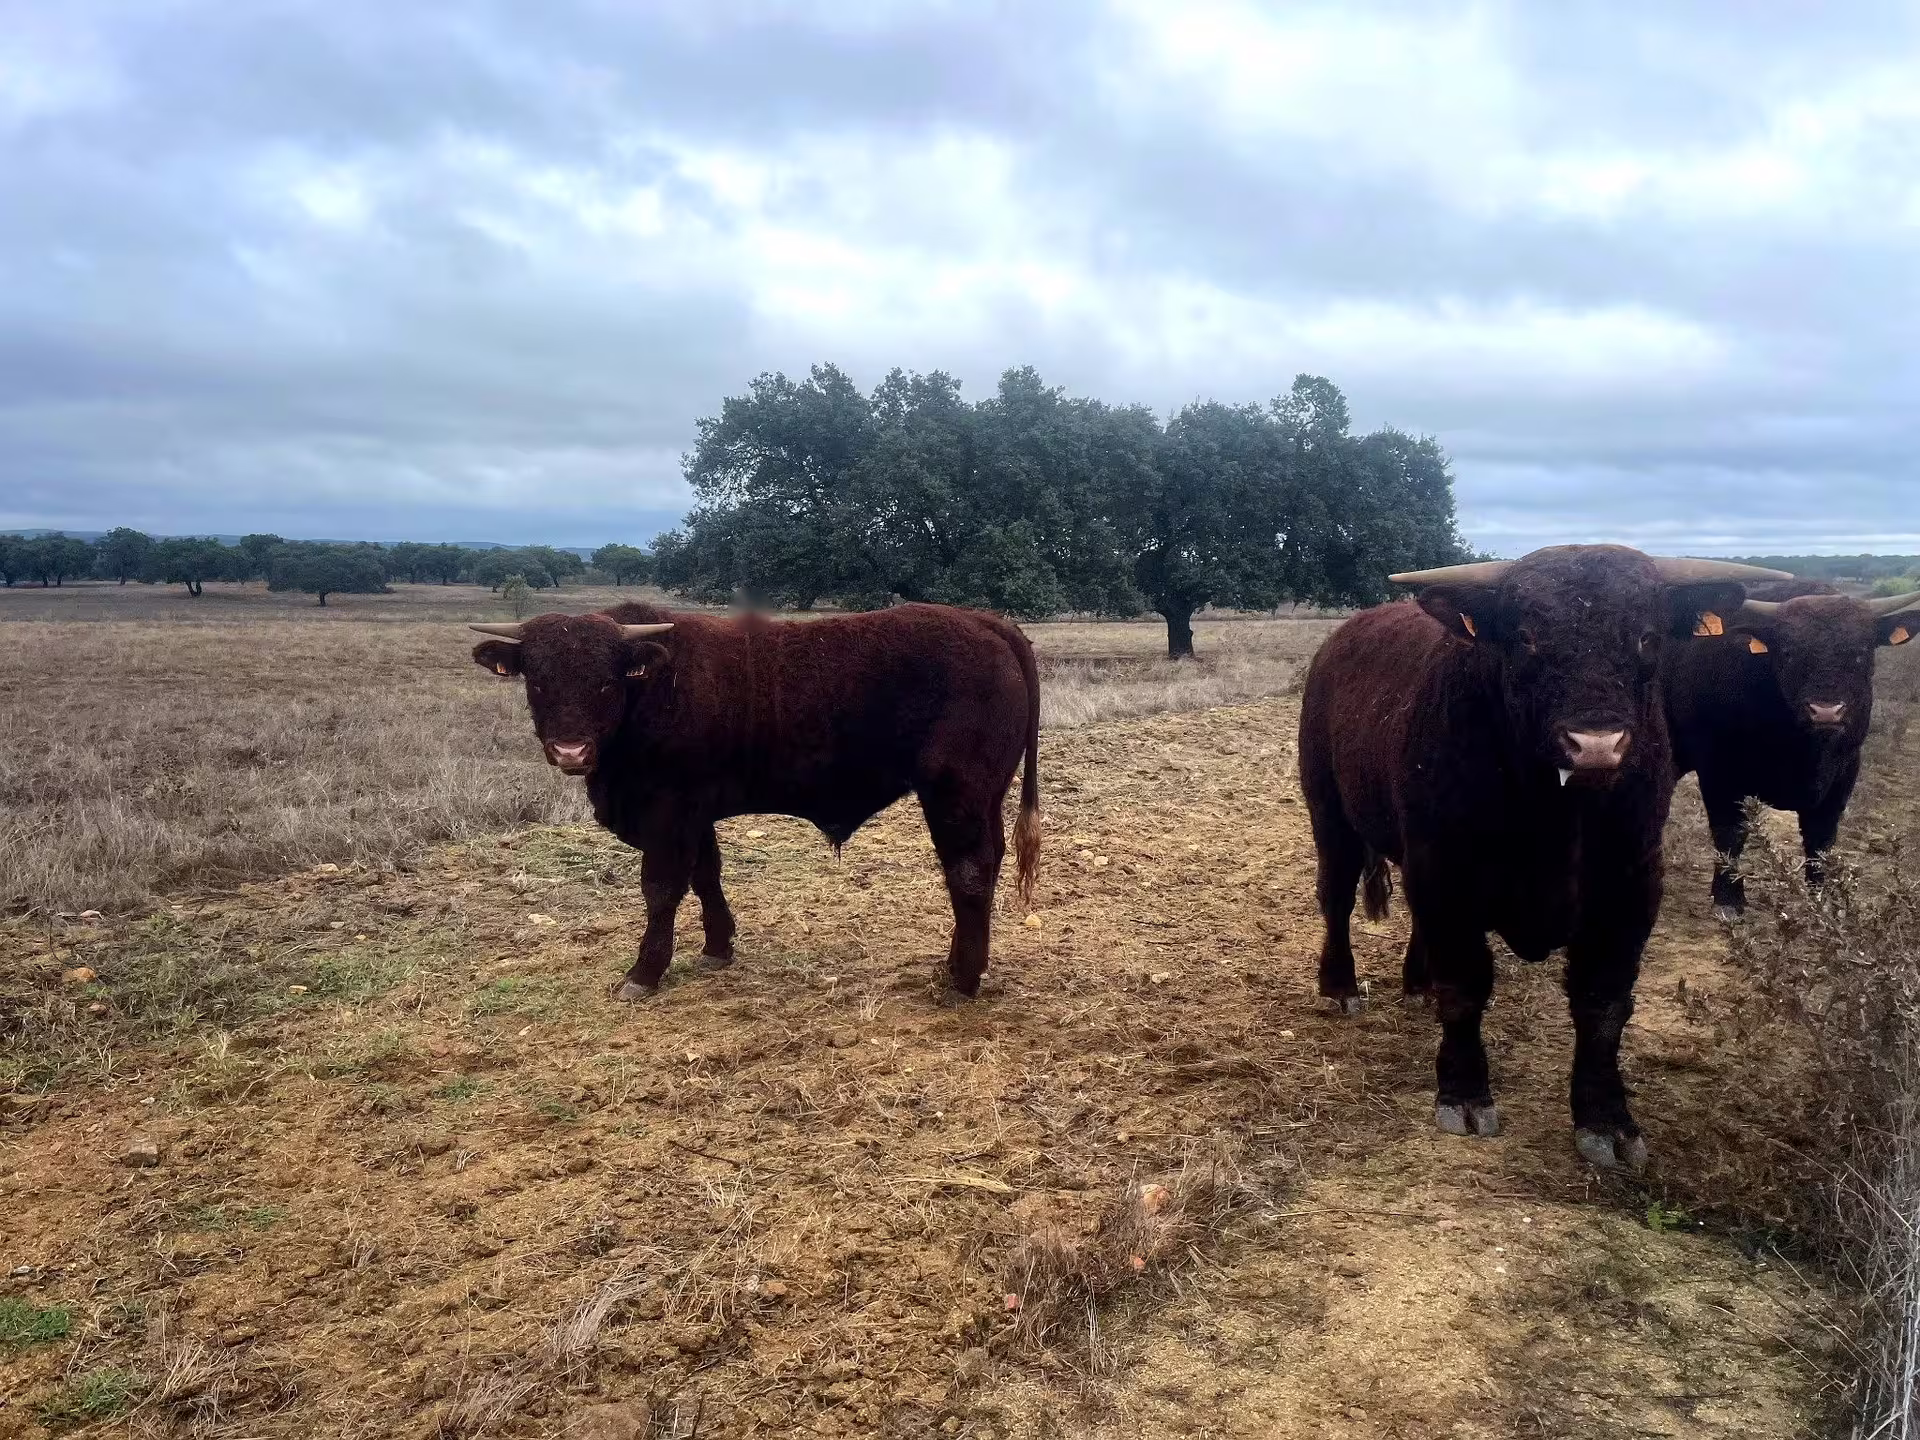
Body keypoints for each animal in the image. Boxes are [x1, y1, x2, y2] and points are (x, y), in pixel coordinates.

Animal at [469, 602, 1041, 999]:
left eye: (607, 681)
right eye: (538, 680)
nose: (571, 750)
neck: (655, 686)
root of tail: (984, 621)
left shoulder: (667, 812)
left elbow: (661, 888)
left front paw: (644, 971)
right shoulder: (695, 812)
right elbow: (706, 875)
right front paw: (718, 947)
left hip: (956, 793)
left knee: (969, 870)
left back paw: (962, 978)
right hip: (987, 796)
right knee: (989, 863)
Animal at [1297, 546, 1788, 1170]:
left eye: (1648, 637)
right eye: (1527, 637)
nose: (1596, 744)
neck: (1556, 815)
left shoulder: (1630, 889)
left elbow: (1603, 1004)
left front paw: (1607, 1121)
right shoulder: (1446, 873)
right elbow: (1465, 984)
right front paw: (1463, 1094)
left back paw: (1416, 981)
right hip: (1330, 811)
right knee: (1335, 896)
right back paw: (1341, 987)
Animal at [1662, 586, 1920, 917]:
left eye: (1861, 651)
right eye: (1788, 651)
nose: (1826, 711)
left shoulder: (1843, 775)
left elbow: (1820, 840)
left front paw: (1822, 900)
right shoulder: (1719, 772)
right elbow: (1730, 833)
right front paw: (1729, 897)